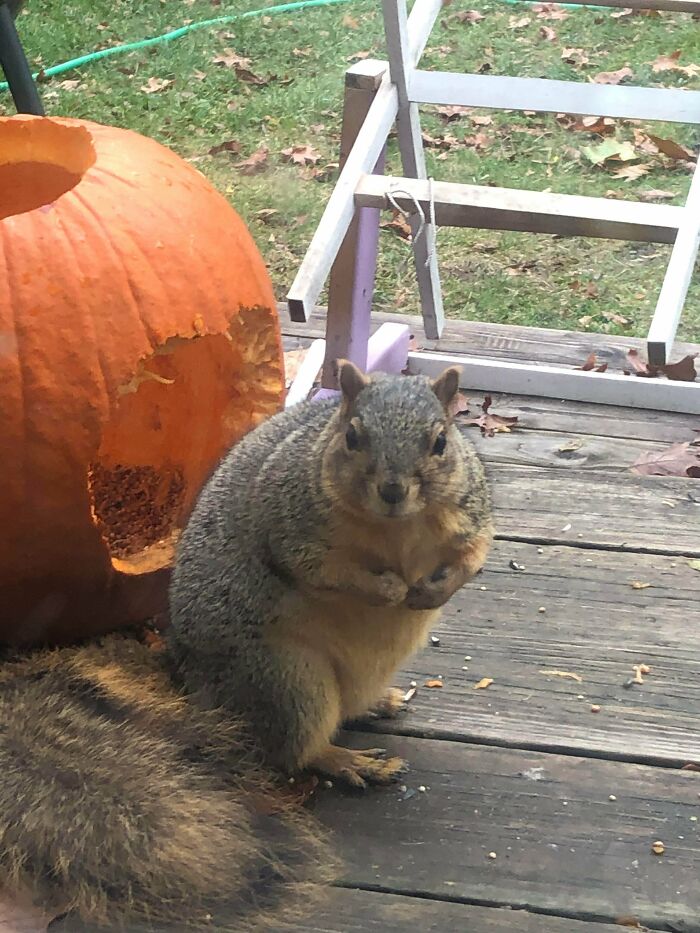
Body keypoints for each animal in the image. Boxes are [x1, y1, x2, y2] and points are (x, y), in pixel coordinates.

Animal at [0, 362, 492, 931]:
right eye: (352, 436)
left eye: (441, 441)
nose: (392, 489)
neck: (398, 528)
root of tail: (191, 682)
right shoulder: (292, 524)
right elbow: (324, 571)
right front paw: (390, 589)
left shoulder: (471, 513)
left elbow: (473, 556)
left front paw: (432, 590)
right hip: (287, 680)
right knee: (297, 749)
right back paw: (348, 760)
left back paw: (380, 703)